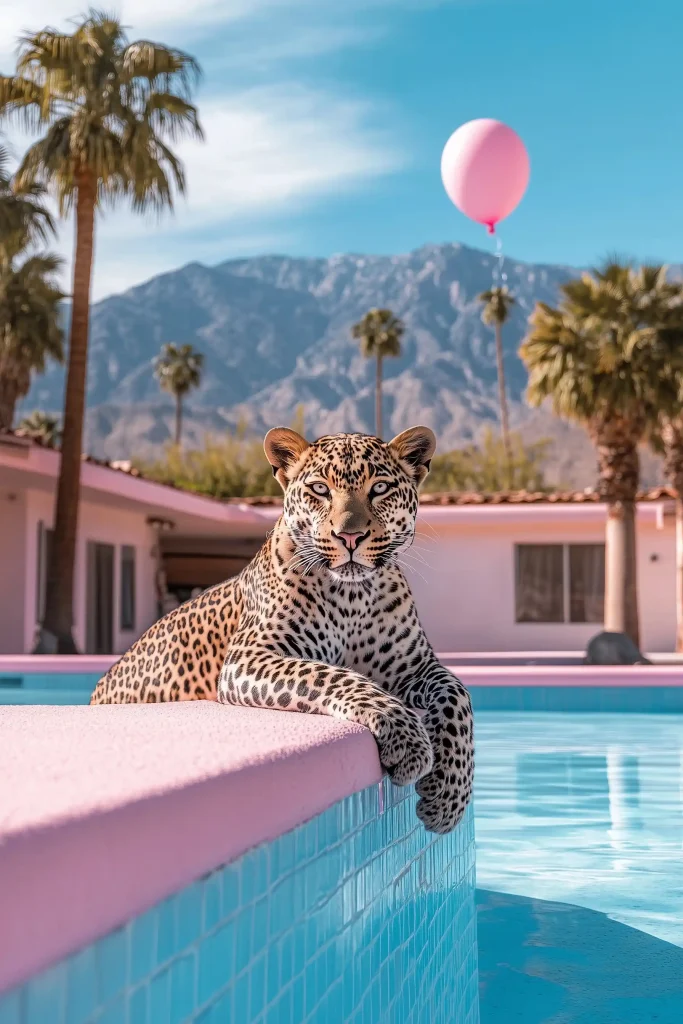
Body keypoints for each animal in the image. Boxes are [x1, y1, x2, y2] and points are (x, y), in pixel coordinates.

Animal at [90, 426, 474, 833]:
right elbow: (332, 675)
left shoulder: (415, 665)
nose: (349, 537)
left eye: (380, 488)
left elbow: (457, 694)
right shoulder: (251, 656)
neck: (352, 596)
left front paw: (449, 796)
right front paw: (406, 737)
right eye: (320, 489)